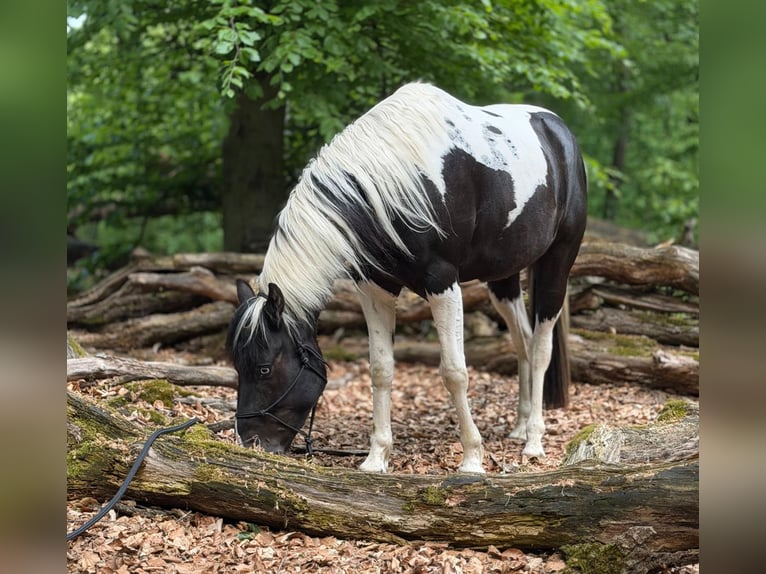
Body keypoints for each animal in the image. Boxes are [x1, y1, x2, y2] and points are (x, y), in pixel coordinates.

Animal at [226, 82, 587, 473]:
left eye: (264, 369)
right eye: (237, 365)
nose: (252, 443)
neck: (396, 185)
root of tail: (560, 132)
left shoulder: (443, 284)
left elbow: (454, 371)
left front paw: (472, 458)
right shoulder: (375, 288)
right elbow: (381, 369)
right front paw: (376, 457)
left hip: (556, 264)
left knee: (540, 349)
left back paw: (534, 440)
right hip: (502, 277)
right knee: (522, 341)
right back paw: (520, 427)